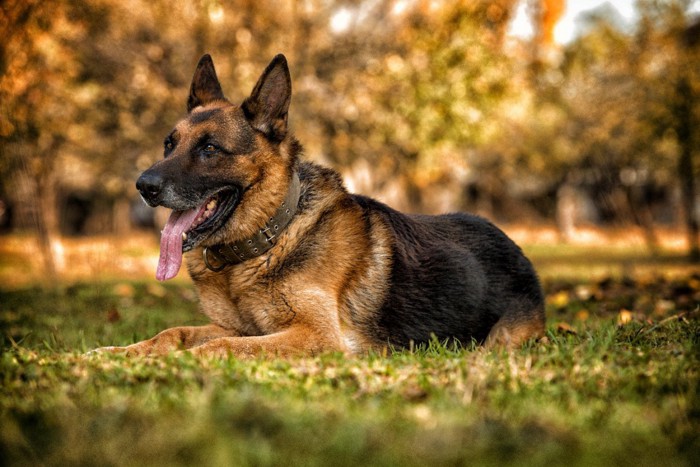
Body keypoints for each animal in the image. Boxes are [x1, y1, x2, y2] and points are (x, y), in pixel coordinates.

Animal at [94, 53, 548, 358]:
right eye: (169, 145)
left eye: (209, 149)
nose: (144, 186)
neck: (268, 239)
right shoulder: (238, 326)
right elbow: (173, 333)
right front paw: (116, 355)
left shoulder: (315, 335)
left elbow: (217, 347)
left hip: (501, 340)